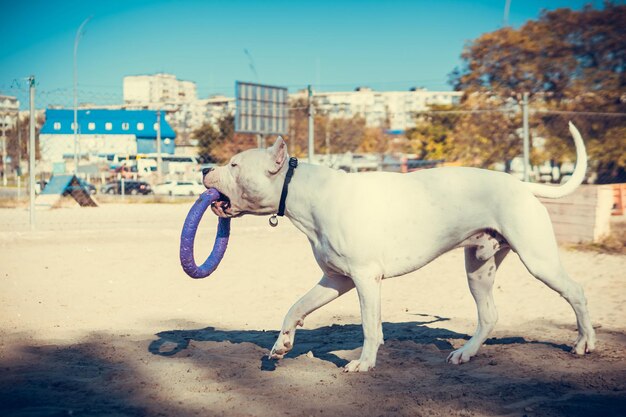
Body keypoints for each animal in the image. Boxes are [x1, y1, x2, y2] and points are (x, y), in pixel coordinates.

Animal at [205, 121, 596, 370]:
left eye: (234, 164)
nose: (206, 168)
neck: (304, 191)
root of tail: (520, 183)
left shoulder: (365, 279)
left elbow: (369, 326)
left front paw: (364, 363)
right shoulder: (336, 280)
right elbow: (294, 308)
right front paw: (281, 346)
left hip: (538, 260)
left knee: (577, 292)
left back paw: (585, 342)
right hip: (478, 269)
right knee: (489, 315)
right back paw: (465, 353)